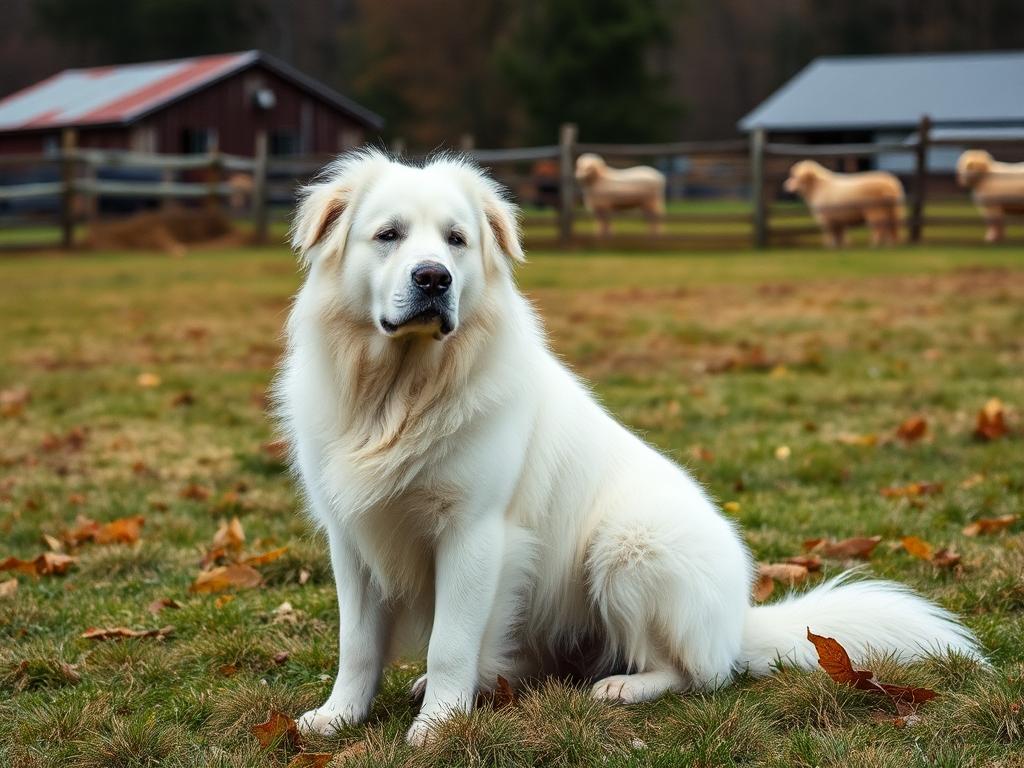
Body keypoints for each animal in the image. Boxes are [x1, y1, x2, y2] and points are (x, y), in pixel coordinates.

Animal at [276, 148, 978, 745]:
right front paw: (337, 718)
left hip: (627, 544)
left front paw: (438, 727)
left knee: (698, 674)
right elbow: (358, 645)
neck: (399, 393)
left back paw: (622, 687)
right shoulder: (352, 538)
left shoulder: (473, 533)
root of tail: (737, 624)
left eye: (456, 240)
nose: (433, 279)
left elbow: (450, 641)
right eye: (388, 235)